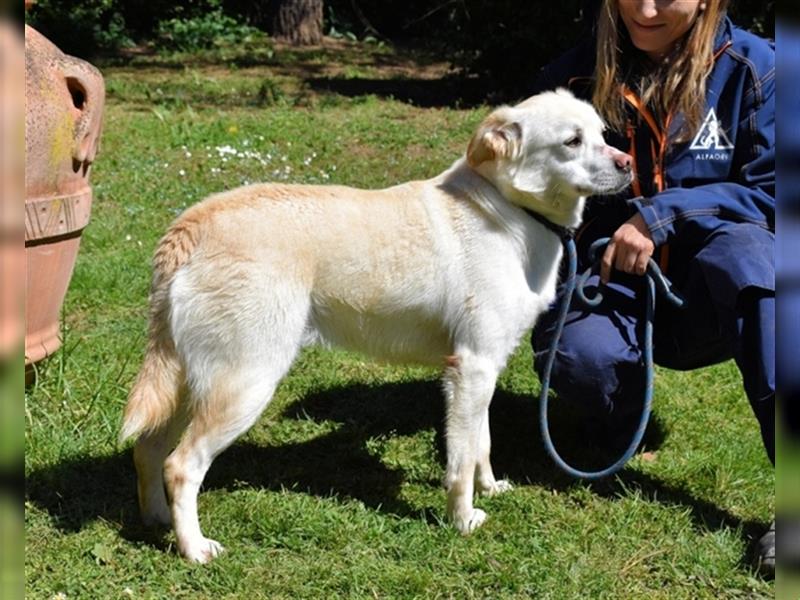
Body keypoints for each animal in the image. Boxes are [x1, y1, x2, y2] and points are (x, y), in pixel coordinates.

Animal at [120, 89, 632, 564]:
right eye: (572, 141)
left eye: (604, 134)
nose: (628, 164)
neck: (508, 209)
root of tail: (190, 225)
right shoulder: (471, 368)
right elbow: (461, 459)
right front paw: (462, 519)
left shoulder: (484, 367)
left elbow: (481, 443)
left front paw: (489, 488)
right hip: (244, 383)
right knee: (181, 466)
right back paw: (193, 549)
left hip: (191, 381)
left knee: (148, 450)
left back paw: (156, 521)